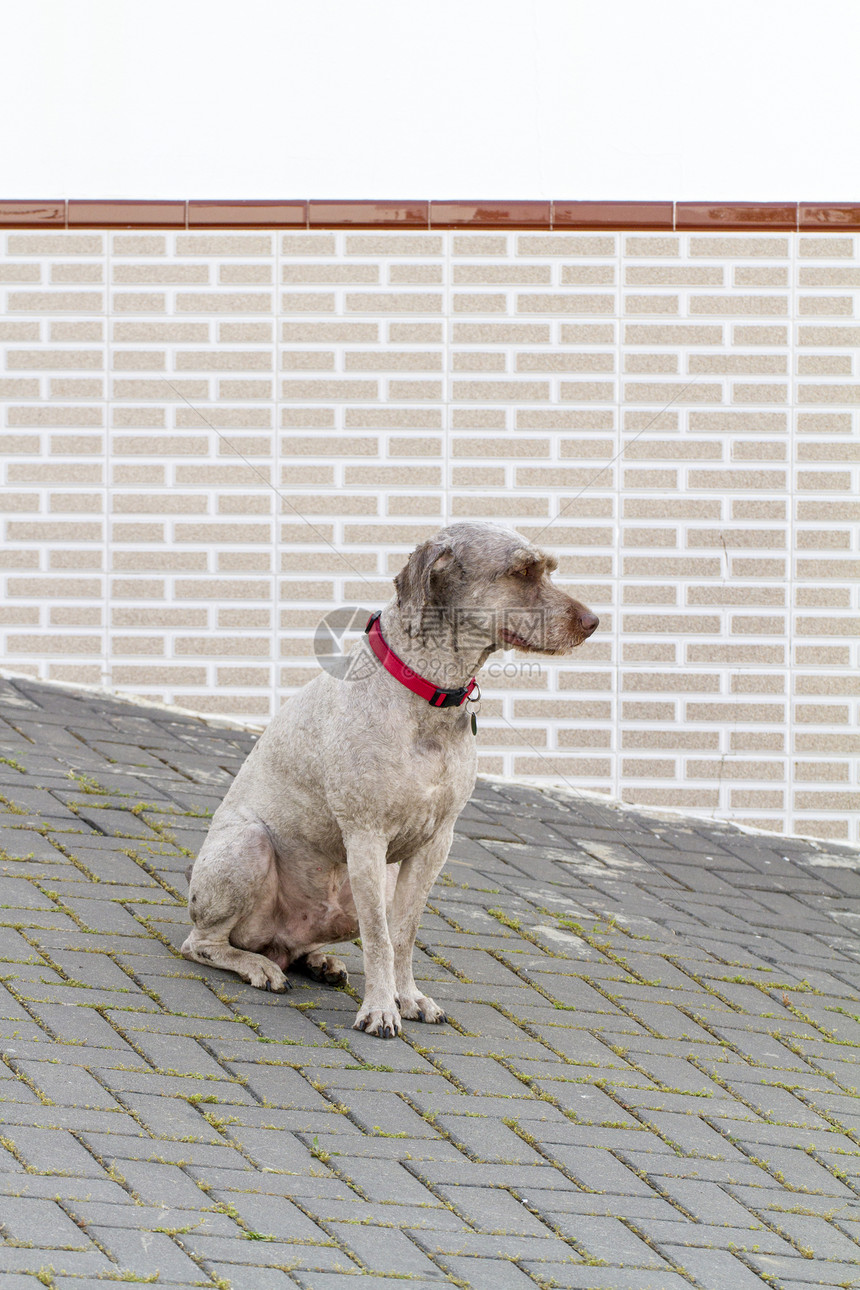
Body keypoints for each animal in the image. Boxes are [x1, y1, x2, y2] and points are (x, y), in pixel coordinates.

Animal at [181, 518, 598, 1032]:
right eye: (522, 571)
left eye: (549, 568)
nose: (594, 622)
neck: (427, 693)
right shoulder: (366, 836)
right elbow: (379, 937)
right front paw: (380, 1008)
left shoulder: (434, 845)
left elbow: (402, 932)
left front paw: (408, 996)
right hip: (248, 848)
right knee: (206, 943)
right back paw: (257, 966)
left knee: (296, 947)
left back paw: (318, 961)